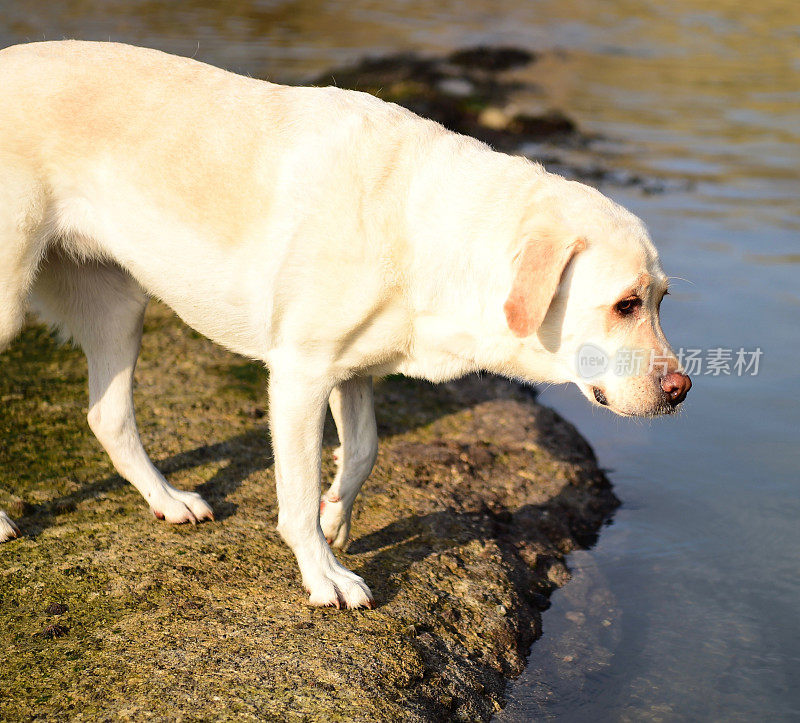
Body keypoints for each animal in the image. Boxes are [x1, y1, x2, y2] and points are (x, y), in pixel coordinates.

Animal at [0, 38, 688, 604]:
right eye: (625, 303)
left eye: (660, 301)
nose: (682, 391)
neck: (424, 229)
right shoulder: (299, 376)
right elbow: (297, 500)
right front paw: (323, 574)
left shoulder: (352, 370)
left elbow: (362, 451)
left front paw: (338, 516)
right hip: (10, 302)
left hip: (120, 307)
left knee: (107, 415)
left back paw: (168, 500)